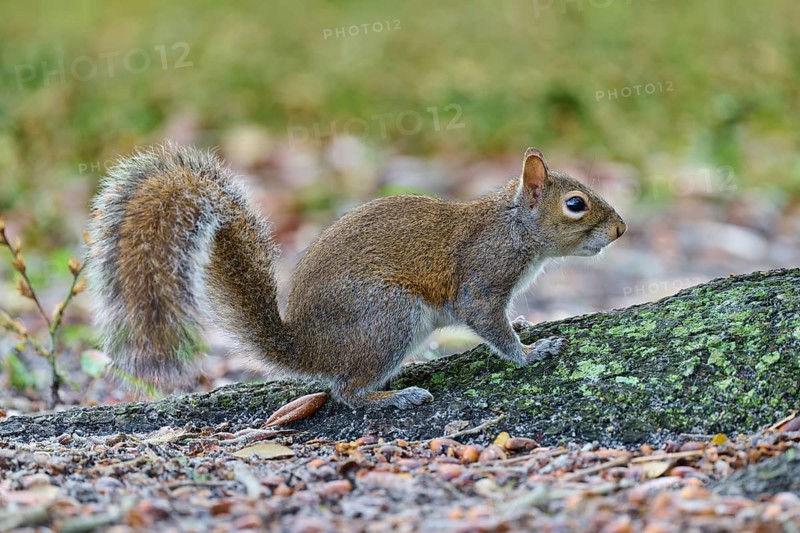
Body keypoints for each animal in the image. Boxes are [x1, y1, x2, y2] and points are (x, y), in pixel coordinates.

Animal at [86, 144, 626, 409]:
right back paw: (395, 396)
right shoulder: (483, 276)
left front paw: (525, 327)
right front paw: (532, 352)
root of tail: (306, 346)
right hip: (388, 316)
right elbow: (487, 321)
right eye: (575, 205)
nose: (621, 229)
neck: (513, 226)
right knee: (345, 393)